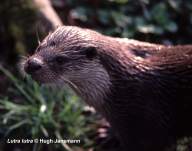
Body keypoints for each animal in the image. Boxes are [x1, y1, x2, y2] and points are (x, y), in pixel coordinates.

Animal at [21, 26, 192, 151]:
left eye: (60, 59)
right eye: (39, 46)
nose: (33, 64)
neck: (126, 91)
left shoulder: (149, 129)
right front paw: (106, 133)